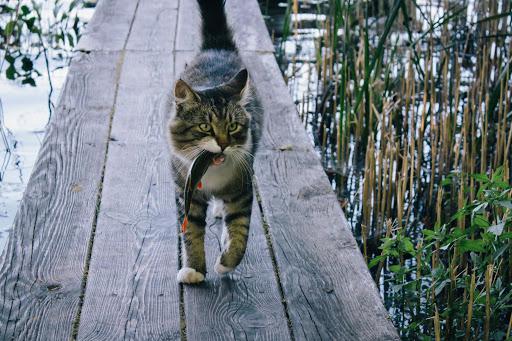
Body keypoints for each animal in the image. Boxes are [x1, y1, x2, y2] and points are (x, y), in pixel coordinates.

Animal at [169, 0, 264, 282]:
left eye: (232, 126)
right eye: (205, 127)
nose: (222, 144)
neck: (210, 171)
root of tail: (216, 47)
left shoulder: (242, 189)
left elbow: (240, 233)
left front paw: (226, 264)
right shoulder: (186, 193)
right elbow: (191, 234)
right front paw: (194, 270)